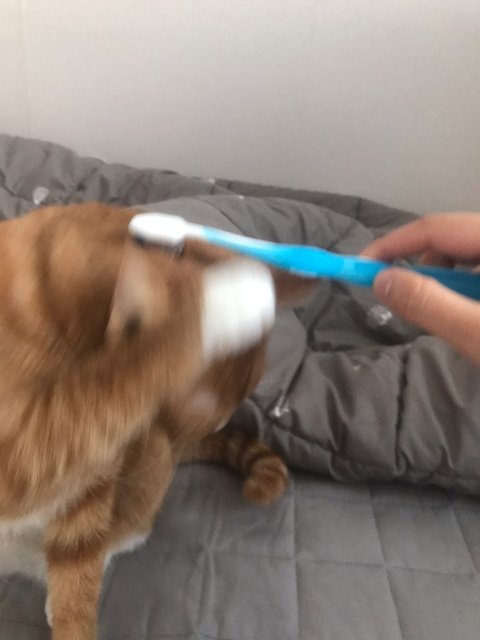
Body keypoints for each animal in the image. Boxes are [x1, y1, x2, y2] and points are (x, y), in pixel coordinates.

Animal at [0, 203, 314, 640]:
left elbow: (77, 582)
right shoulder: (30, 448)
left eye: (160, 419)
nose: (176, 441)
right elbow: (155, 351)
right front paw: (230, 301)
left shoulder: (88, 476)